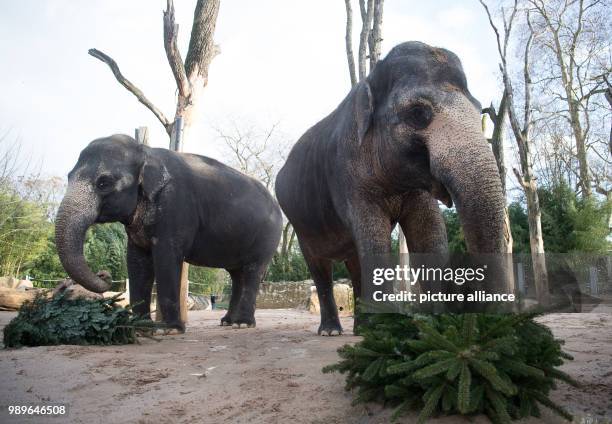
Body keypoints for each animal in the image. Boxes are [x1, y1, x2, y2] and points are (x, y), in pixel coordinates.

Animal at [55, 136, 282, 332]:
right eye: (68, 176)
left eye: (104, 183)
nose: (104, 274)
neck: (147, 152)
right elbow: (137, 260)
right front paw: (140, 326)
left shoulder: (175, 206)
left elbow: (166, 256)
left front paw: (169, 330)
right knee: (237, 275)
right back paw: (228, 322)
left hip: (268, 237)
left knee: (252, 271)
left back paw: (242, 324)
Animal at [276, 41, 506, 336]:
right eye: (418, 113)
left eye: (479, 111)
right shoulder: (349, 176)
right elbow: (376, 238)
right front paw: (386, 330)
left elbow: (430, 233)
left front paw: (436, 325)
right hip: (300, 224)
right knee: (319, 267)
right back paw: (332, 331)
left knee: (355, 262)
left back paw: (360, 330)